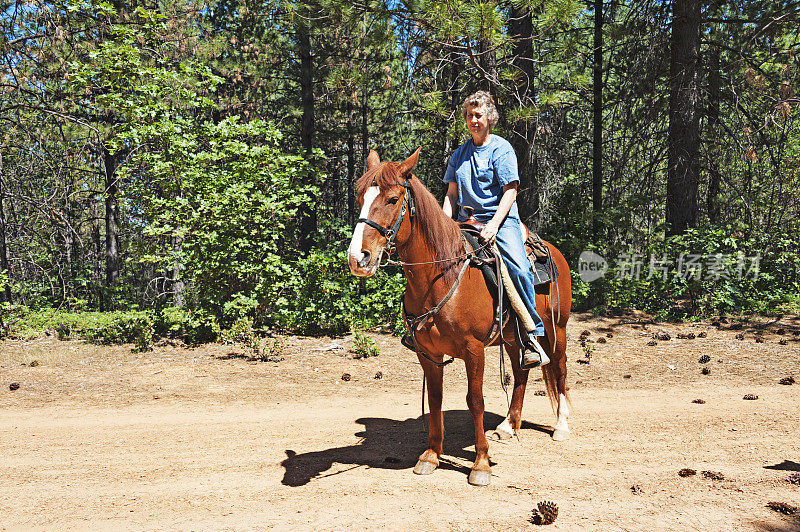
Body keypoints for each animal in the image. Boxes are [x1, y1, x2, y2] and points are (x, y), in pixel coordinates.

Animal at [346, 149, 572, 486]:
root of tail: (554, 252)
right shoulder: (428, 353)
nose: (358, 258)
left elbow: (474, 401)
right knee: (521, 373)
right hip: (512, 337)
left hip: (557, 328)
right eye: (361, 197)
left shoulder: (473, 350)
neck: (441, 275)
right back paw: (509, 425)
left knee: (559, 371)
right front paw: (431, 455)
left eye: (393, 199)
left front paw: (481, 464)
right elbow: (436, 400)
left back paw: (561, 426)